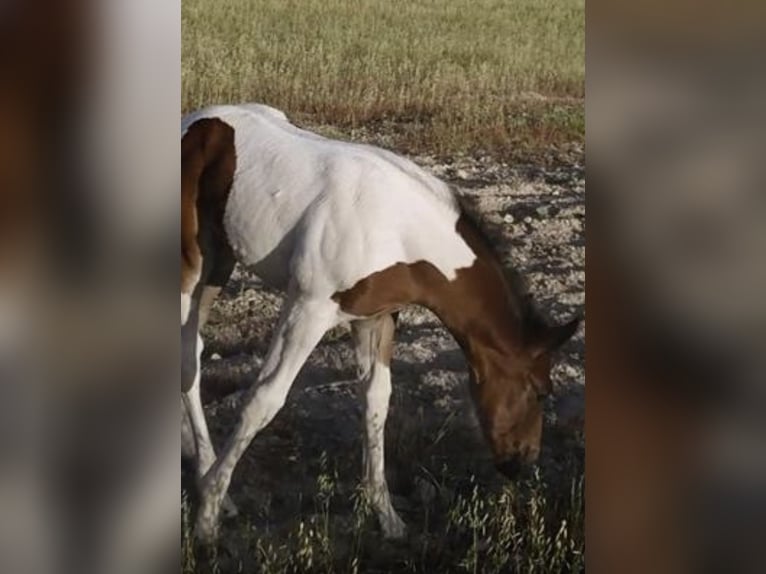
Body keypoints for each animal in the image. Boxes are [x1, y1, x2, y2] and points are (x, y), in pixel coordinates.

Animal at [182, 104, 584, 544]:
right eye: (541, 392)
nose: (521, 464)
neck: (399, 229)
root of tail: (194, 120)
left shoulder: (376, 317)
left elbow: (376, 402)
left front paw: (388, 518)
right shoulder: (308, 306)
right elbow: (264, 399)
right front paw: (206, 519)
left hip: (221, 261)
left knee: (191, 350)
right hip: (194, 265)